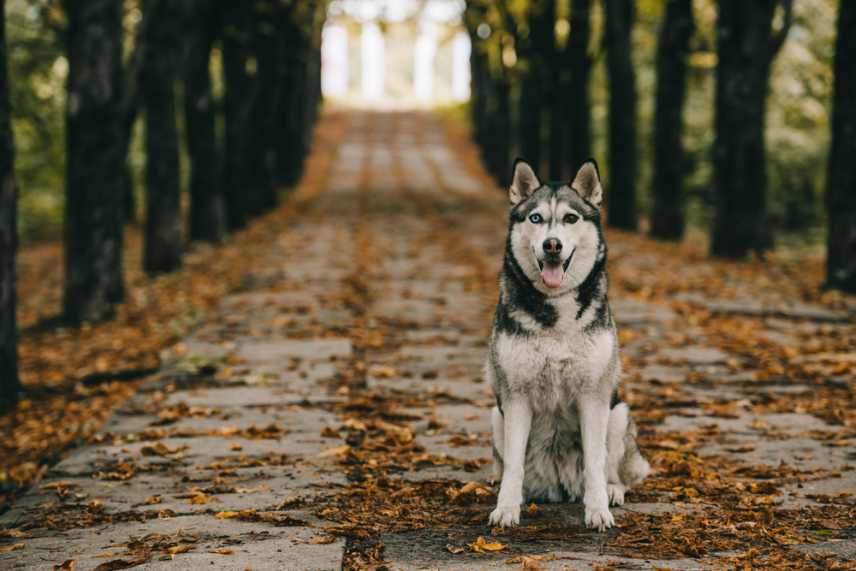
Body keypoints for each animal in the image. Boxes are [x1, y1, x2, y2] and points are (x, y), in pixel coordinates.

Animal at [484, 158, 652, 532]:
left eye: (571, 219)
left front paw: (598, 509)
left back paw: (613, 490)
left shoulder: (593, 395)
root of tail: (558, 485)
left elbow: (595, 461)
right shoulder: (515, 396)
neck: (556, 310)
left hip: (618, 413)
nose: (552, 245)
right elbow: (513, 465)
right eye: (535, 218)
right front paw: (506, 507)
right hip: (496, 417)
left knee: (613, 468)